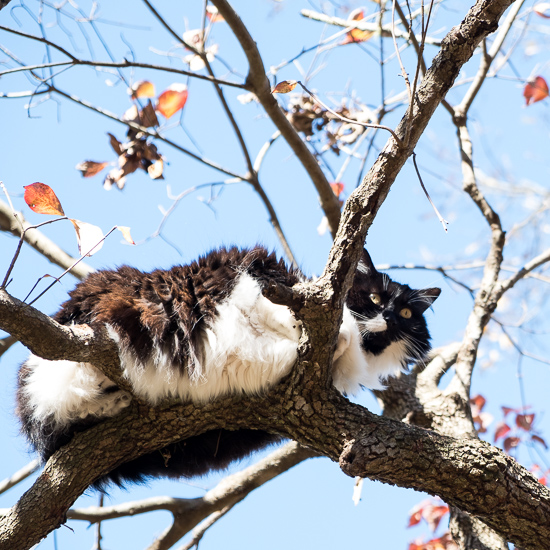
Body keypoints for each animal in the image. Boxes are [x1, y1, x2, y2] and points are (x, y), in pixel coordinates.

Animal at [15, 248, 442, 490]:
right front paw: (330, 336)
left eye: (407, 314)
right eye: (376, 298)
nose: (390, 317)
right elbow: (294, 313)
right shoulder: (267, 275)